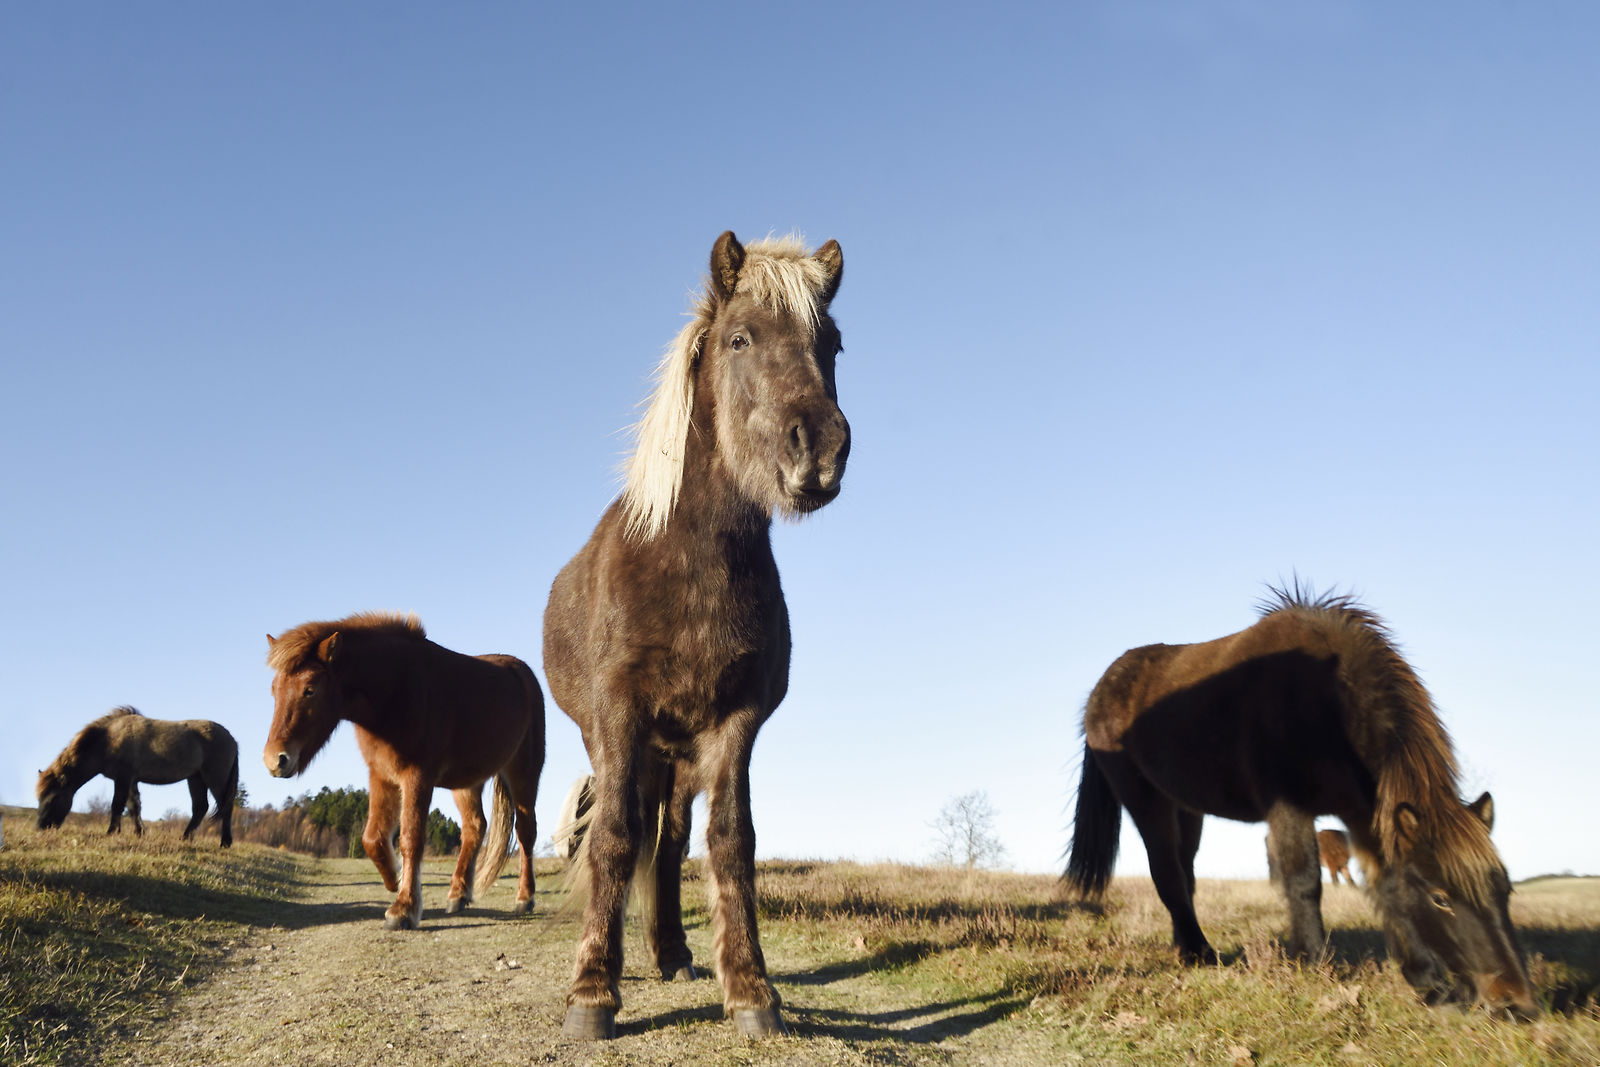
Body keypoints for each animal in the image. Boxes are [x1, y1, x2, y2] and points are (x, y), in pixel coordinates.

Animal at [36, 706, 238, 846]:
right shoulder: (131, 781)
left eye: (52, 798)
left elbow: (117, 804)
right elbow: (134, 806)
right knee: (200, 808)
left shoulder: (123, 778)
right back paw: (185, 837)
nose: (40, 827)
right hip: (195, 779)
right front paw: (138, 832)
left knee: (226, 807)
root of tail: (232, 739)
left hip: (215, 779)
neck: (108, 739)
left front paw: (111, 832)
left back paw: (225, 842)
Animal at [264, 612, 545, 930]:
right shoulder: (381, 776)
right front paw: (394, 880)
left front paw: (404, 909)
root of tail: (523, 674)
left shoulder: (417, 777)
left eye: (309, 689)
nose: (275, 760)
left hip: (524, 773)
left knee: (526, 832)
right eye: (274, 690)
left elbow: (411, 838)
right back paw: (457, 895)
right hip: (466, 783)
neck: (397, 691)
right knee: (475, 828)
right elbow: (372, 838)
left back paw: (525, 898)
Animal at [544, 231, 849, 1040]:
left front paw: (749, 988)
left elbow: (730, 842)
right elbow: (614, 836)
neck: (688, 561)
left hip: (677, 752)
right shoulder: (621, 713)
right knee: (634, 829)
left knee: (672, 836)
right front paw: (593, 992)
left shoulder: (736, 719)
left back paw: (672, 952)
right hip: (623, 740)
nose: (820, 450)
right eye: (739, 338)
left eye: (833, 343)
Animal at [1063, 585, 1538, 1019]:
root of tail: (1101, 688)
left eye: (1506, 890)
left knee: (1185, 876)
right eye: (1441, 897)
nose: (1518, 1004)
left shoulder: (1362, 812)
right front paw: (1314, 962)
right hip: (1147, 802)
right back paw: (1201, 954)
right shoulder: (1290, 807)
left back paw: (1188, 949)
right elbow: (1305, 880)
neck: (1327, 701)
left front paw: (1427, 980)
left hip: (1186, 808)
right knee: (1167, 874)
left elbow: (1385, 884)